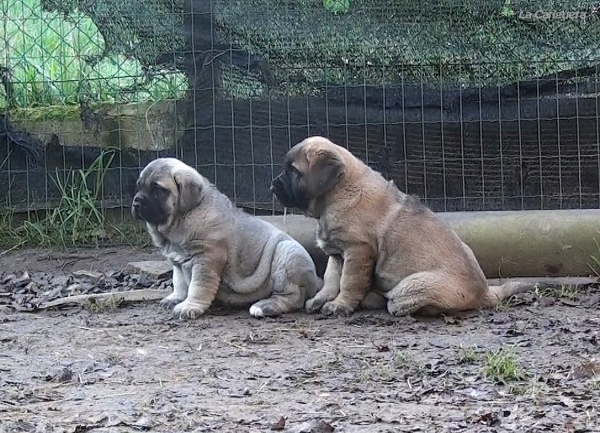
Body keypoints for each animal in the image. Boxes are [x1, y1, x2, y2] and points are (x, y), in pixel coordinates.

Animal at [131, 157, 318, 318]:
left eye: (158, 189)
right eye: (139, 186)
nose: (136, 203)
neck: (182, 219)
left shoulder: (206, 259)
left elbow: (197, 286)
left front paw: (189, 306)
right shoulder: (177, 261)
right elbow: (180, 282)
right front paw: (176, 298)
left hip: (286, 253)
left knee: (292, 297)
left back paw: (263, 306)